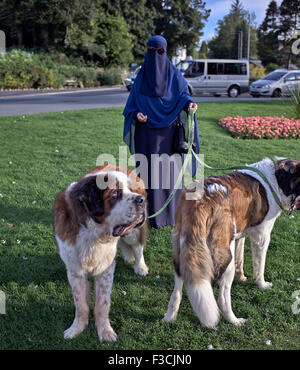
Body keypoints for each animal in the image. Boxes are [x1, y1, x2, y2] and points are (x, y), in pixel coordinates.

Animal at [53, 163, 149, 342]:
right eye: (115, 193)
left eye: (130, 190)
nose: (140, 199)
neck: (93, 233)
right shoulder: (75, 270)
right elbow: (80, 304)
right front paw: (77, 328)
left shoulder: (105, 270)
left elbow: (102, 304)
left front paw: (105, 331)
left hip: (134, 232)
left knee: (138, 247)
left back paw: (140, 266)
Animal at [163, 158, 300, 328]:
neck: (277, 179)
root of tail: (199, 201)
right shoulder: (262, 237)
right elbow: (259, 266)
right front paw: (262, 285)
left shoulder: (239, 236)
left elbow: (240, 259)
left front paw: (241, 277)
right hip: (225, 254)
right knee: (223, 296)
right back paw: (234, 320)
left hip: (180, 250)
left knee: (177, 290)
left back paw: (169, 317)